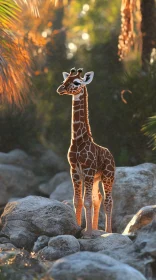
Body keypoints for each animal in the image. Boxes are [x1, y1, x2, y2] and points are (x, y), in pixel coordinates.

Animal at [56, 68, 115, 236]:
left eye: (76, 82)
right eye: (65, 80)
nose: (60, 89)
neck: (78, 140)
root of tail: (110, 154)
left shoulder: (87, 169)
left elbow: (86, 201)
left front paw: (87, 232)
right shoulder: (75, 170)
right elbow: (78, 200)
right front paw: (78, 228)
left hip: (108, 176)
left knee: (108, 200)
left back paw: (107, 230)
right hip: (96, 178)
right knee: (98, 198)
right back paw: (96, 228)